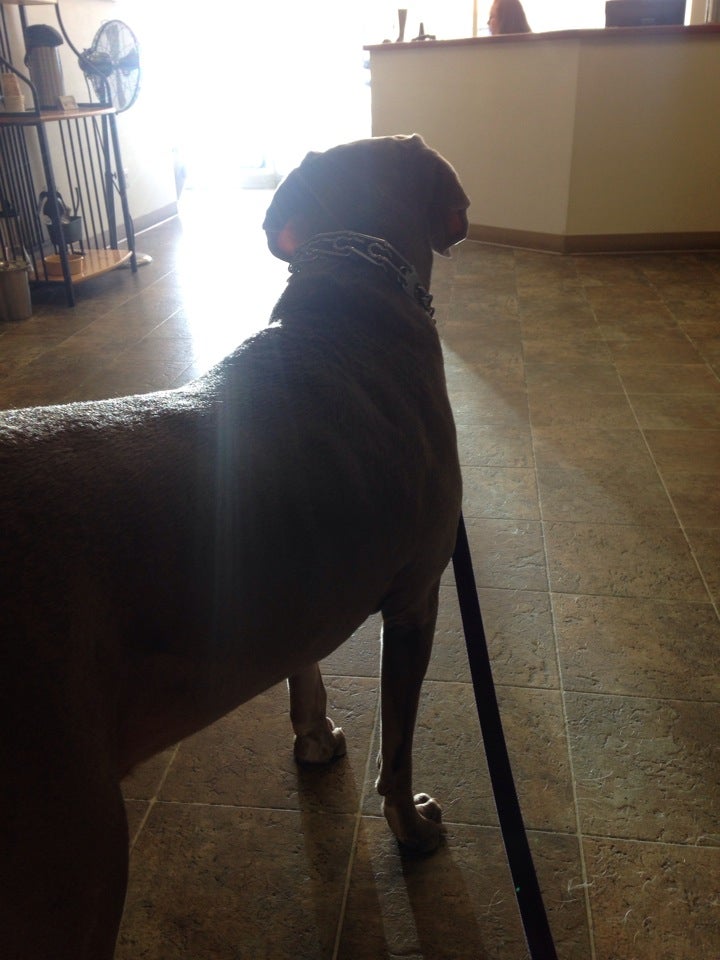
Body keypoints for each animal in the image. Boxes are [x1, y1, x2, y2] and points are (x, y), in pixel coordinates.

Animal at [0, 134, 469, 959]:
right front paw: (411, 829)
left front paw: (313, 737)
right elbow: (400, 741)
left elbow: (304, 668)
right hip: (77, 866)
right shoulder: (417, 597)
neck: (352, 288)